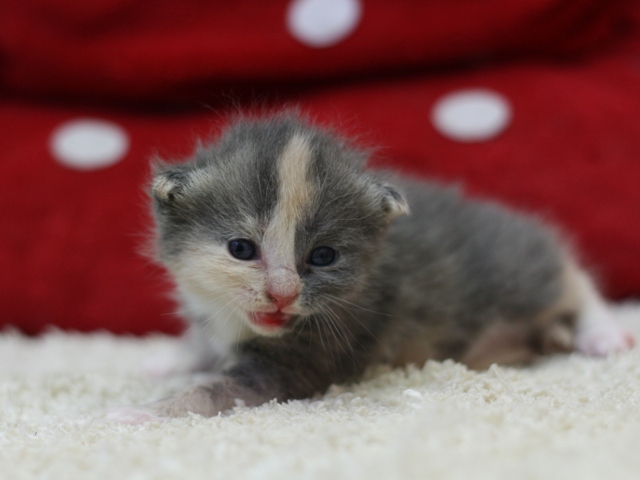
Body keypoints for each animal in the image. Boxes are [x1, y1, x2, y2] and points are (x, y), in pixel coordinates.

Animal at [107, 114, 632, 422]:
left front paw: (142, 413)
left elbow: (217, 391)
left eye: (323, 256)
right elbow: (202, 342)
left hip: (515, 273)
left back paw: (603, 333)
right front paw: (168, 359)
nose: (282, 293)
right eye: (241, 248)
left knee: (572, 279)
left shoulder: (305, 360)